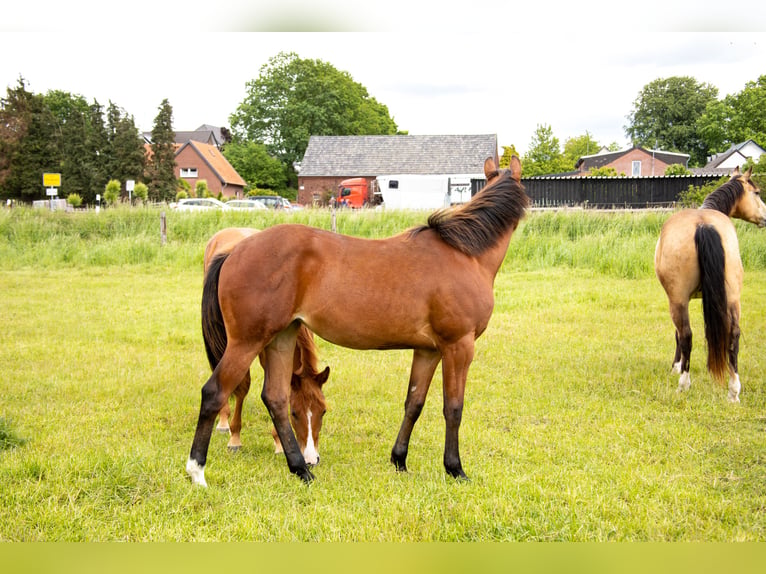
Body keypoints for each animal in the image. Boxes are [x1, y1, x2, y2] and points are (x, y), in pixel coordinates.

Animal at [202, 227, 330, 465]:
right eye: (294, 413)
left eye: (323, 411)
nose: (311, 460)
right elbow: (244, 387)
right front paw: (235, 438)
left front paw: (279, 442)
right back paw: (223, 421)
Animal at [654, 166, 766, 402]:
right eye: (757, 193)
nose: (765, 217)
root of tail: (703, 224)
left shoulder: (677, 299)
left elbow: (678, 334)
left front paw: (676, 366)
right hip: (732, 297)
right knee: (733, 335)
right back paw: (734, 391)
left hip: (678, 300)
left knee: (686, 335)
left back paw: (684, 384)